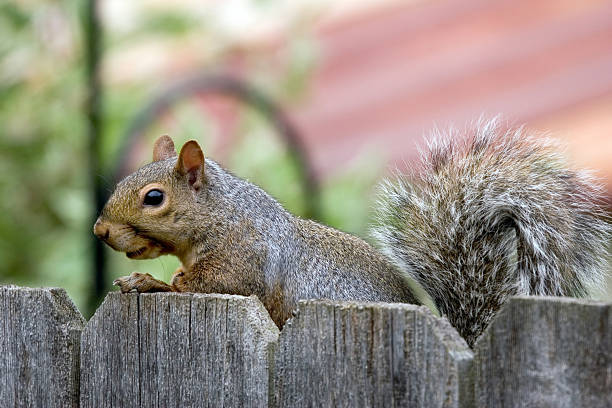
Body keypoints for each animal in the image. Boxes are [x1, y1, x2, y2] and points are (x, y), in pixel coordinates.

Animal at [93, 118, 608, 348]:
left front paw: (155, 282)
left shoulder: (244, 254)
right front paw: (140, 280)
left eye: (154, 198)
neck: (221, 212)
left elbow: (209, 284)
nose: (100, 230)